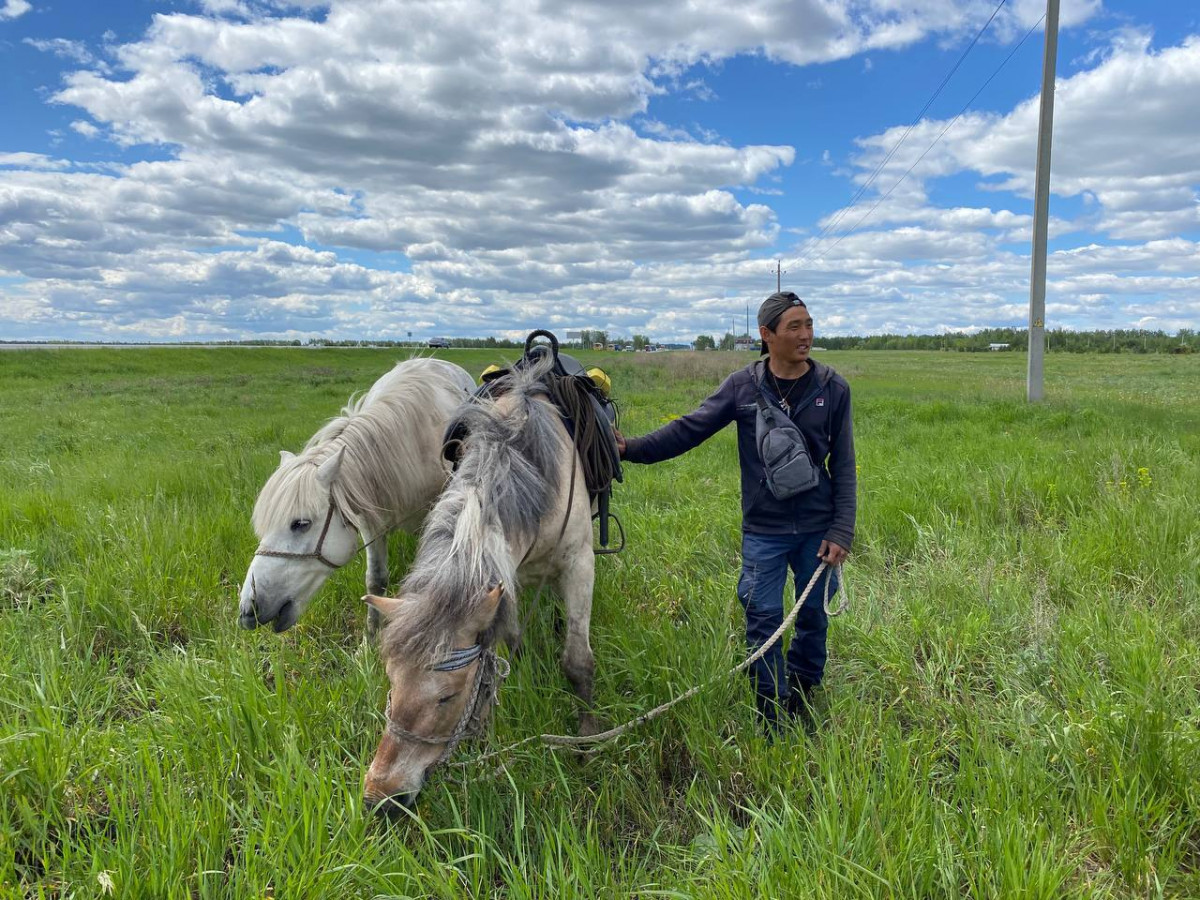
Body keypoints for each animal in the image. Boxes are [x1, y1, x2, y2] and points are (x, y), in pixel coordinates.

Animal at [236, 360, 475, 633]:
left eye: (301, 524)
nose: (249, 609)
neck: (412, 445)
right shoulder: (372, 520)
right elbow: (376, 580)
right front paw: (370, 636)